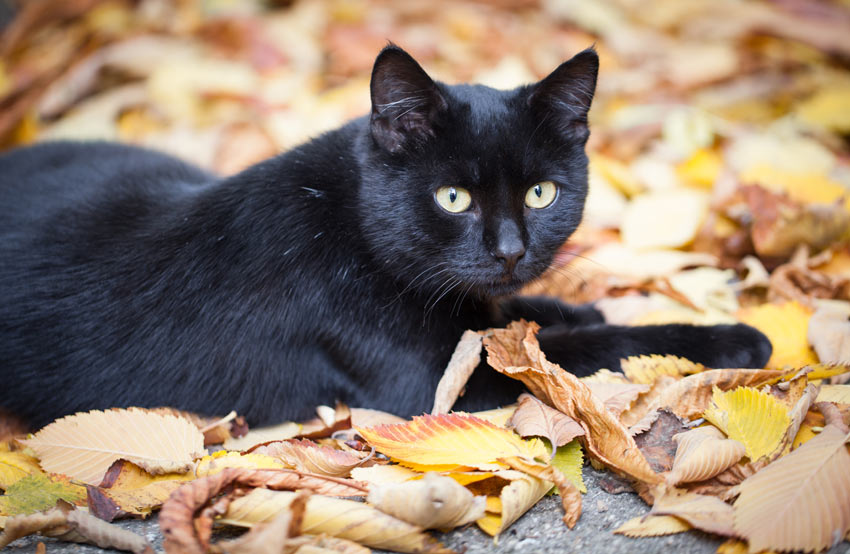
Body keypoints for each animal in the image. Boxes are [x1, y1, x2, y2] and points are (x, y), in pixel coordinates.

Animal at [0, 47, 768, 426]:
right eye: (453, 198)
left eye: (541, 193)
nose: (511, 250)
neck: (349, 225)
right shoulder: (436, 382)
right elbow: (590, 349)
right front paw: (728, 338)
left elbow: (514, 316)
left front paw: (567, 304)